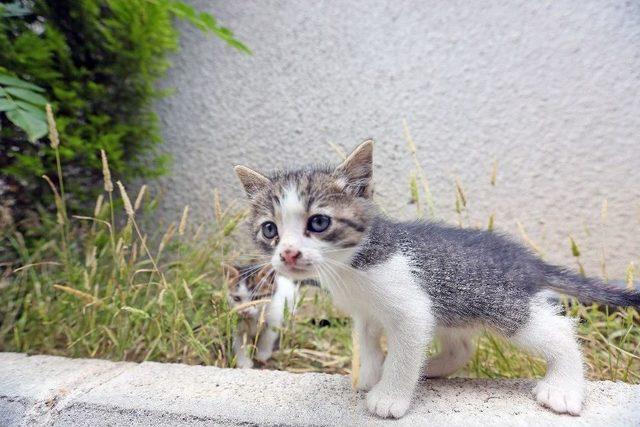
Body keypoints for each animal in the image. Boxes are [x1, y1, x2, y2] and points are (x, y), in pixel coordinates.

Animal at [234, 140, 640, 418]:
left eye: (318, 222)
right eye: (270, 230)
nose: (288, 253)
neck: (351, 267)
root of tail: (528, 261)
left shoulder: (412, 309)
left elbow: (403, 352)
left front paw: (389, 396)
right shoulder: (366, 312)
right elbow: (367, 340)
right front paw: (371, 374)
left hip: (504, 306)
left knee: (559, 331)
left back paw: (563, 389)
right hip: (451, 307)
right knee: (461, 347)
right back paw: (429, 369)